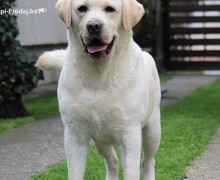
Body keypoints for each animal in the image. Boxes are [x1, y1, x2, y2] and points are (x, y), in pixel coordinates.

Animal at [35, 0, 161, 179]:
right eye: (82, 9)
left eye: (110, 9)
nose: (93, 26)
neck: (98, 75)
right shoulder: (74, 135)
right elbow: (75, 173)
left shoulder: (129, 133)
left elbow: (131, 171)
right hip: (100, 139)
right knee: (112, 161)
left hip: (152, 130)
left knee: (148, 161)